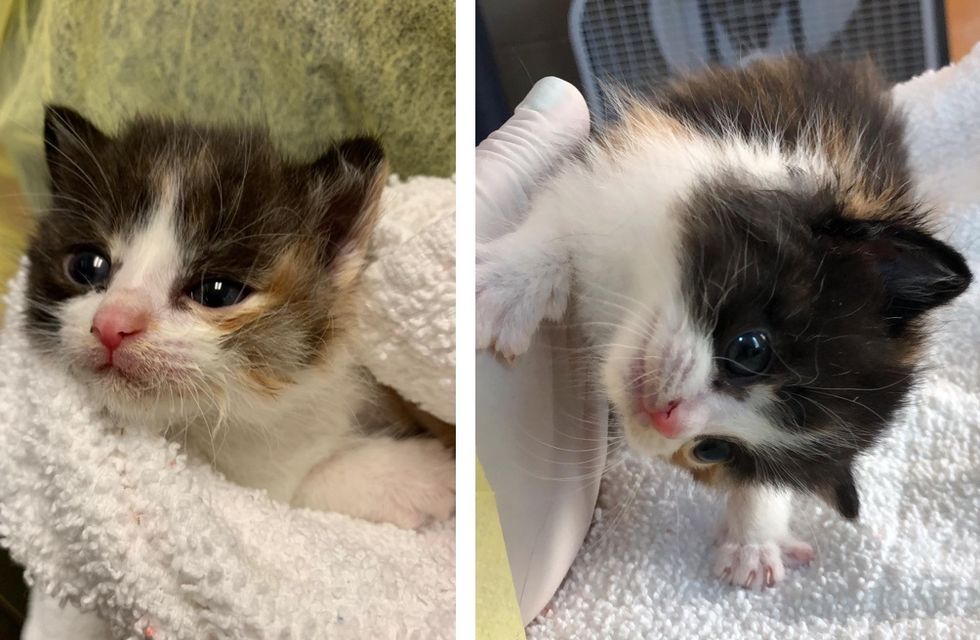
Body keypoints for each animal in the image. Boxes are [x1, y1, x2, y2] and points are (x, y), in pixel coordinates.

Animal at [25, 106, 456, 528]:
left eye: (217, 292)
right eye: (88, 266)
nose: (112, 324)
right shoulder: (259, 487)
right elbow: (308, 483)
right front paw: (422, 474)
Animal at [476, 58, 972, 592]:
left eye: (712, 450)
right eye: (749, 349)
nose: (666, 418)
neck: (632, 292)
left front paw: (753, 539)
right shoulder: (633, 161)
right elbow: (564, 215)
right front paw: (502, 288)